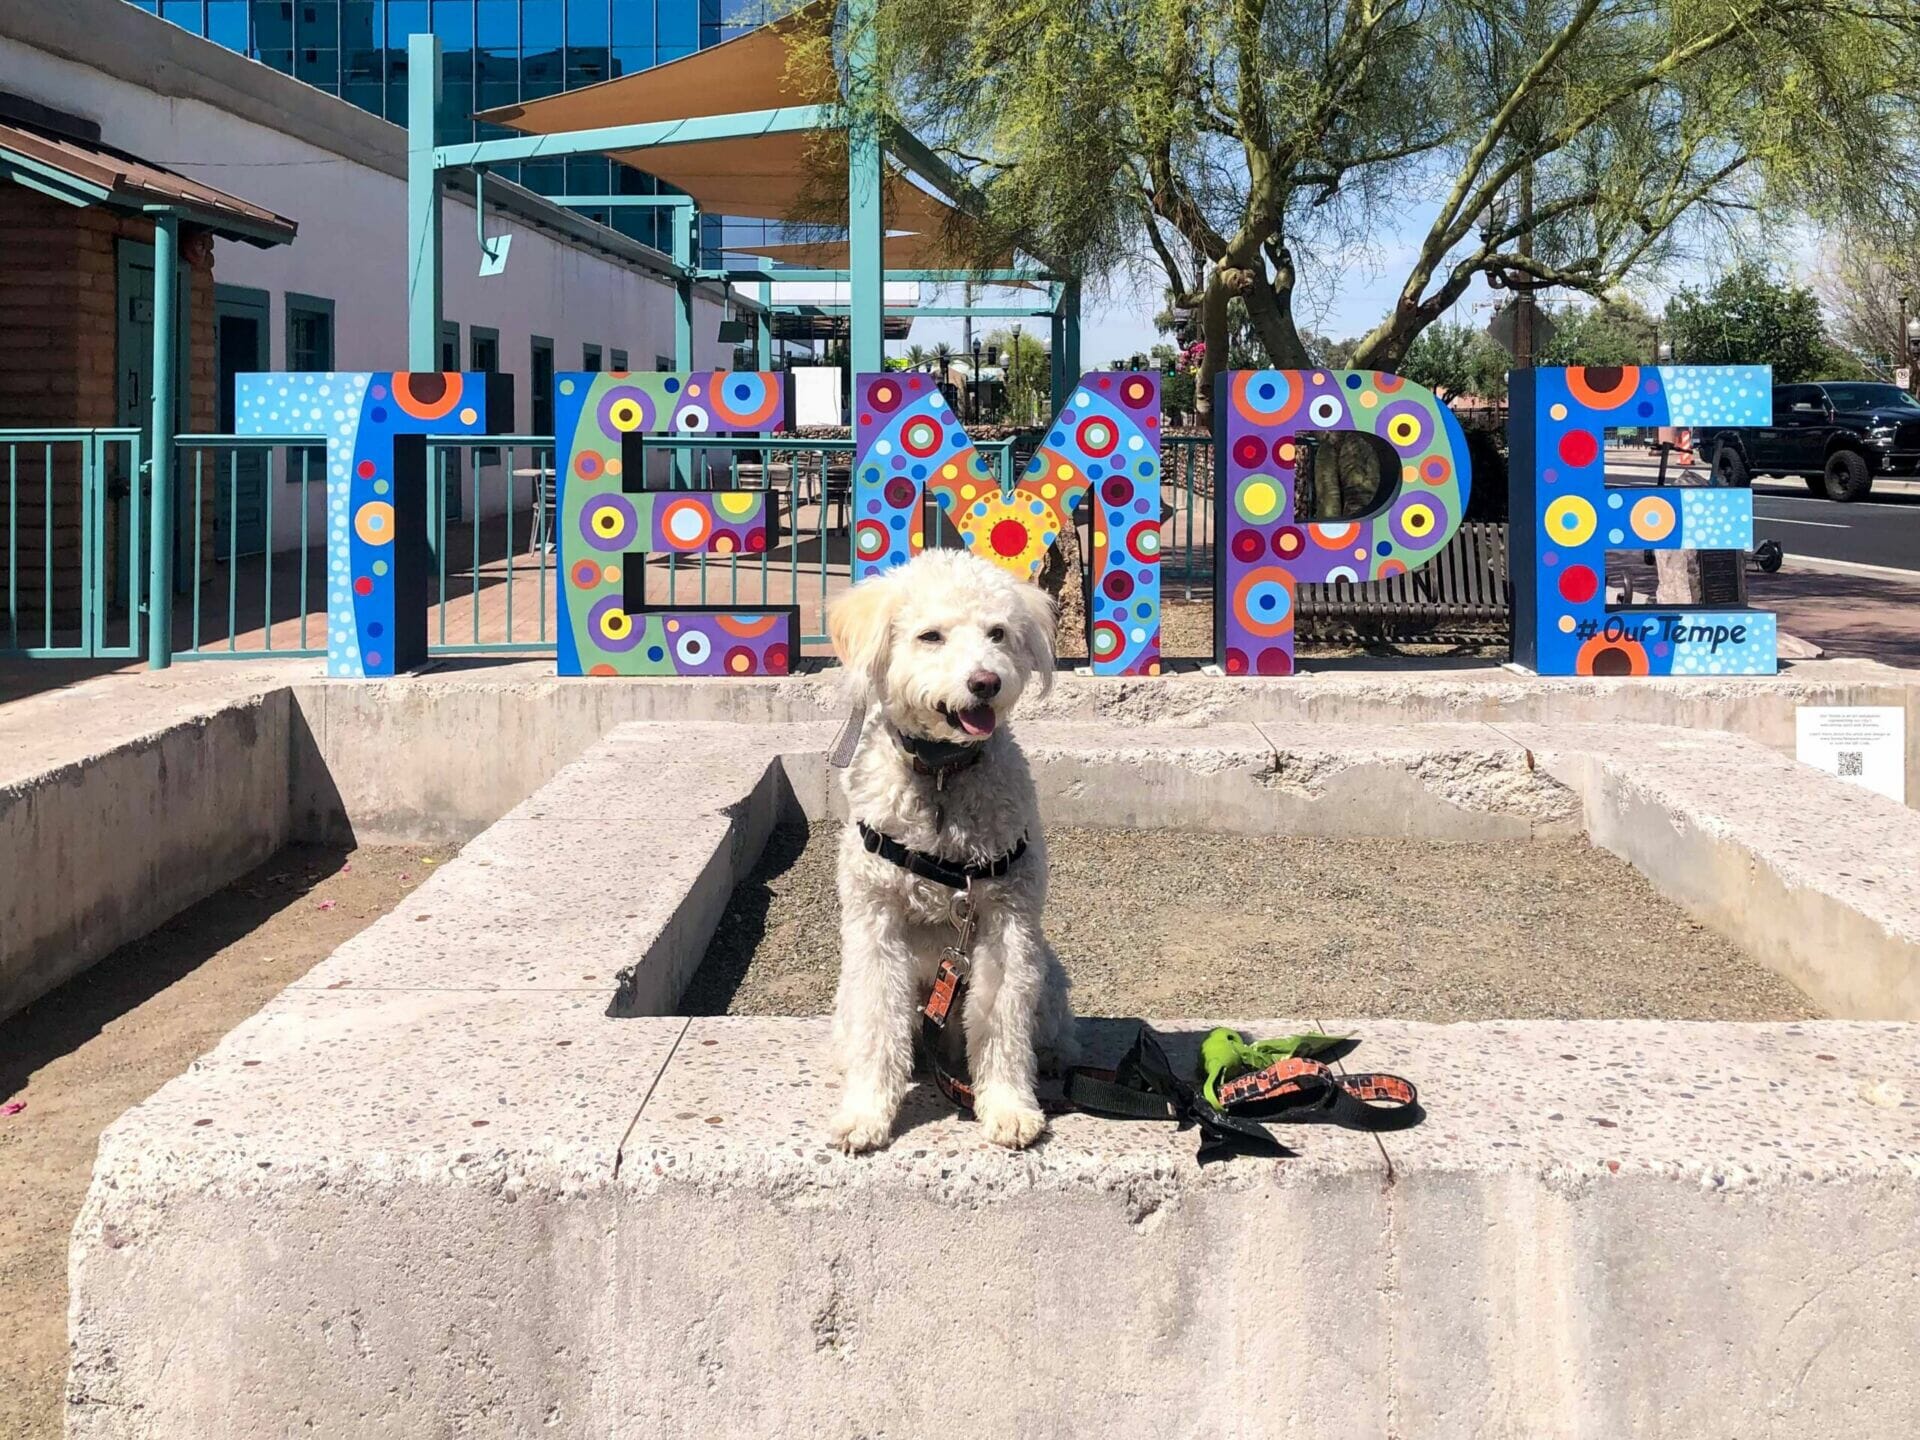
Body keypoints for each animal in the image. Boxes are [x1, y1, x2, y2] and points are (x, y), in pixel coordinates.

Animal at [825, 545, 1082, 1159]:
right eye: (931, 636)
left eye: (998, 632)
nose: (986, 681)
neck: (943, 775)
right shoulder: (876, 920)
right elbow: (877, 1022)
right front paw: (866, 1113)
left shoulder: (1006, 920)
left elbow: (1001, 1021)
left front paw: (1009, 1108)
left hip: (1047, 974)